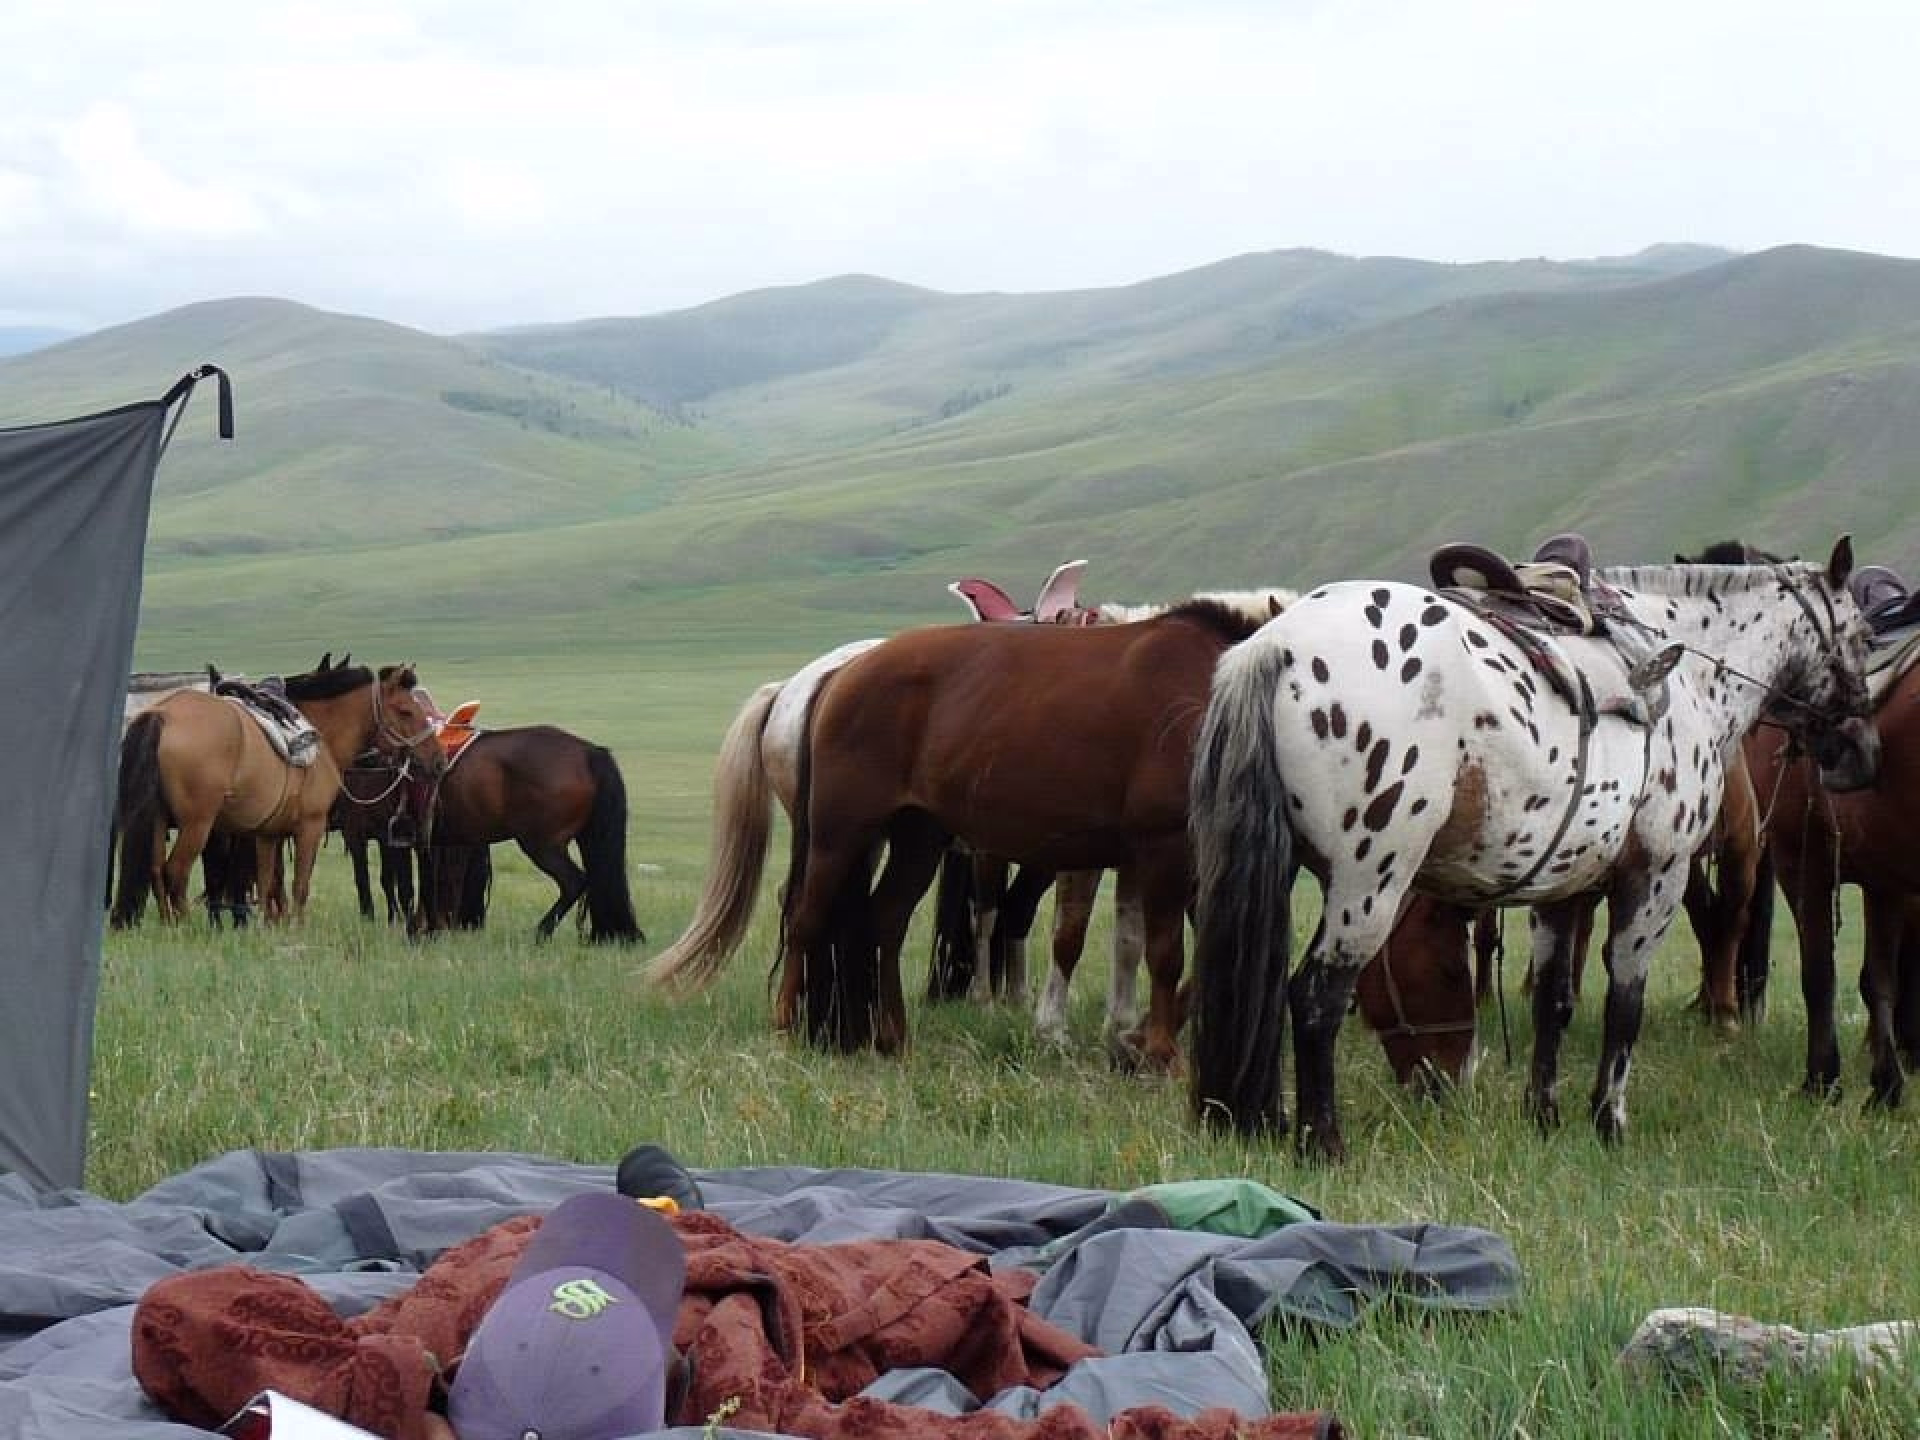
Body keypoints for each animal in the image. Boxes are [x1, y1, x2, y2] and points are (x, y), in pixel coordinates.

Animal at [111, 663, 443, 925]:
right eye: (406, 711)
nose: (439, 760)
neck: (320, 736)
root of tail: (162, 714)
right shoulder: (310, 826)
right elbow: (299, 885)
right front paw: (296, 927)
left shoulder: (268, 833)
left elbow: (268, 879)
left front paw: (268, 926)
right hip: (198, 824)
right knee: (175, 871)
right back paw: (186, 927)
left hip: (157, 819)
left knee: (155, 870)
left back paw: (169, 925)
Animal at [1187, 540, 1879, 1159]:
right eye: (1865, 635)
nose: (1860, 751)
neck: (1685, 672)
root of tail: (1278, 646)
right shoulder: (1657, 875)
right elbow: (1624, 1003)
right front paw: (1608, 1121)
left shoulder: (1562, 888)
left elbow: (1554, 1002)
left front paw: (1542, 1114)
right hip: (1369, 883)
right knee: (1314, 998)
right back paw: (1322, 1142)